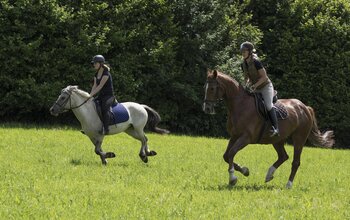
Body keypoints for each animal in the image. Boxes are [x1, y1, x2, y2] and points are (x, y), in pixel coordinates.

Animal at [204, 69, 334, 188]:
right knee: (283, 156)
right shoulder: (234, 136)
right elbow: (226, 156)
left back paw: (288, 184)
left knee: (295, 162)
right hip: (277, 140)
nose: (207, 108)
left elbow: (231, 153)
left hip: (299, 139)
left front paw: (232, 178)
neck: (240, 105)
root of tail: (305, 107)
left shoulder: (246, 138)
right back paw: (269, 175)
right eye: (205, 88)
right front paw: (245, 171)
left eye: (212, 89)